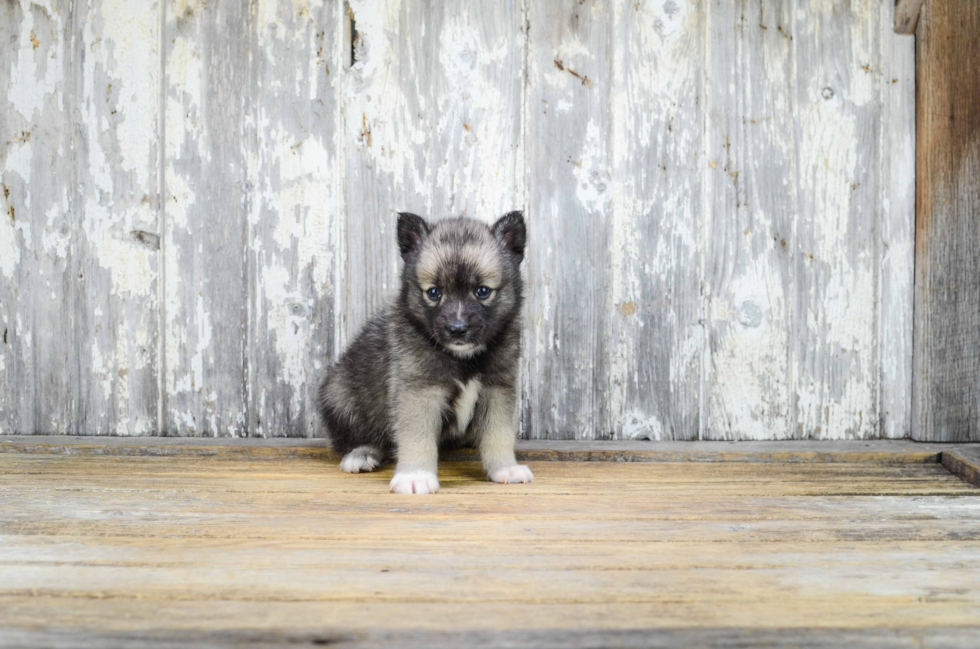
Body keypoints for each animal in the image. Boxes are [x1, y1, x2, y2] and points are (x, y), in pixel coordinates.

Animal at [316, 210, 532, 494]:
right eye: (434, 292)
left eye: (482, 291)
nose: (457, 329)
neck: (462, 357)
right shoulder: (419, 391)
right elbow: (417, 436)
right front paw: (415, 475)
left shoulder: (497, 390)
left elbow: (498, 434)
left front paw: (505, 467)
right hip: (340, 396)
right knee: (357, 437)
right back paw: (362, 453)